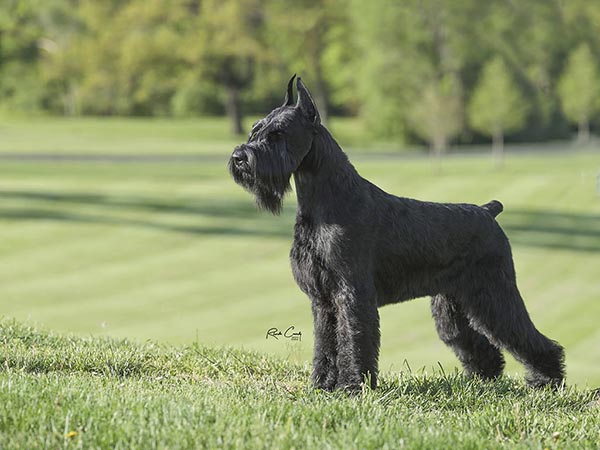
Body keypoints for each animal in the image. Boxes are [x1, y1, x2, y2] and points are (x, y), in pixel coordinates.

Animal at [227, 75, 564, 392]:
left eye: (278, 134)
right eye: (255, 130)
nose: (240, 157)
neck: (326, 200)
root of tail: (487, 211)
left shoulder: (352, 293)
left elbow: (353, 340)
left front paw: (353, 387)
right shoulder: (323, 300)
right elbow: (326, 344)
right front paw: (322, 385)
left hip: (495, 294)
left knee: (529, 338)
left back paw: (546, 381)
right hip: (453, 307)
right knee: (481, 347)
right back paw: (483, 381)